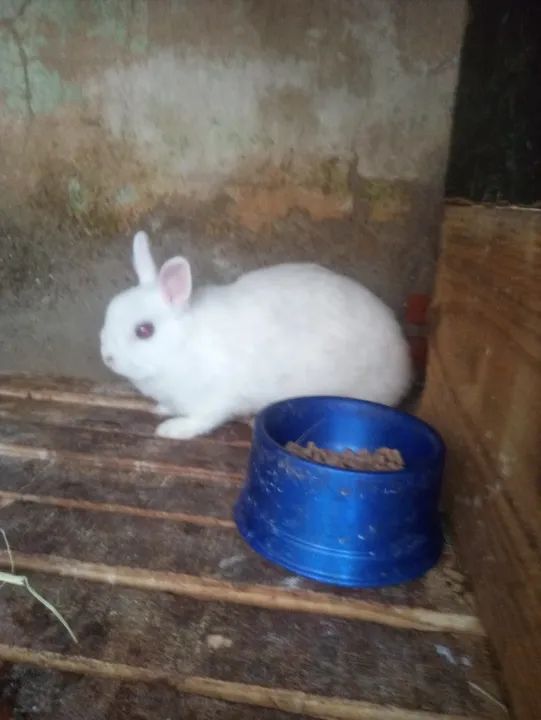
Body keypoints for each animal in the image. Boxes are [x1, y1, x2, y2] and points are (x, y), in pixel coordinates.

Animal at [100, 231, 412, 440]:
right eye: (110, 311)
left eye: (144, 331)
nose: (108, 358)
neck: (182, 344)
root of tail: (403, 363)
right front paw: (162, 409)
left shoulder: (215, 399)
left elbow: (202, 420)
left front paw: (172, 429)